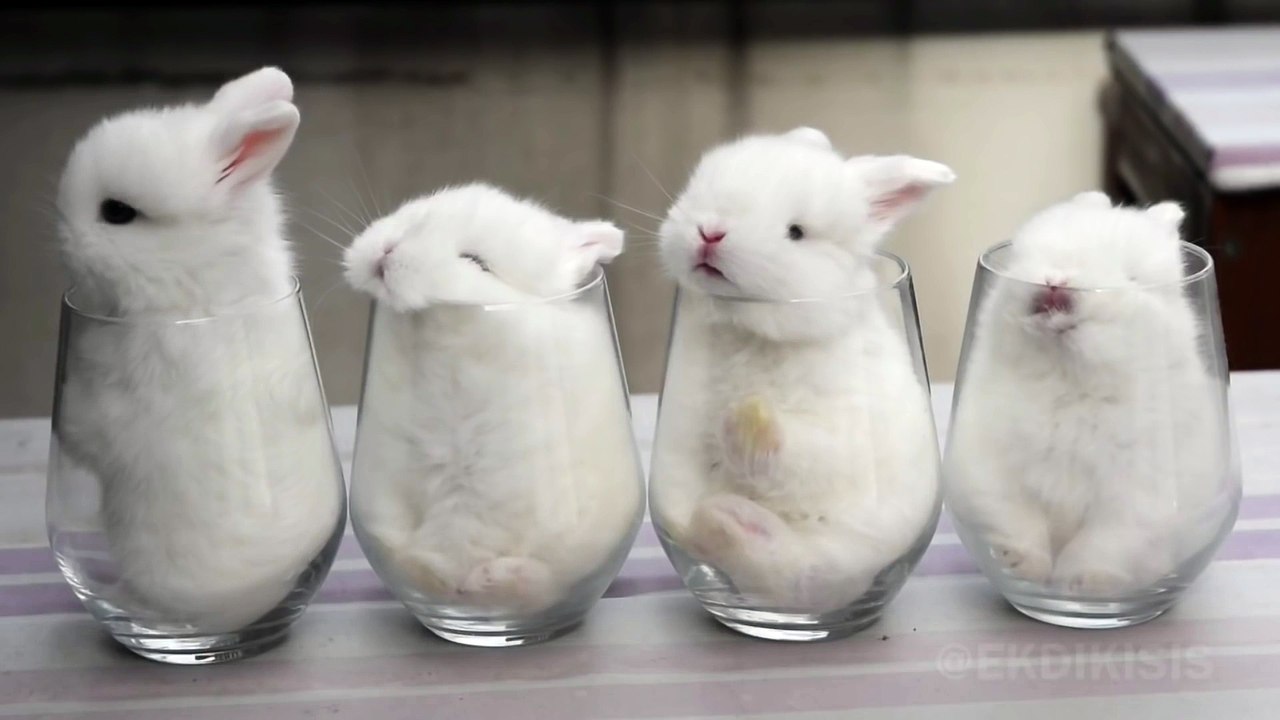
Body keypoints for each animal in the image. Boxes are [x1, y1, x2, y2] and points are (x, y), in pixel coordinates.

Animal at [343, 183, 644, 613]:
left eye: (475, 261)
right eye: (418, 216)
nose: (385, 252)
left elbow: (466, 539)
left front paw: (461, 577)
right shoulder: (389, 477)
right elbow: (394, 529)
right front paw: (422, 570)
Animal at [649, 127, 951, 612]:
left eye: (796, 232)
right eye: (701, 187)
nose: (710, 233)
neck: (748, 329)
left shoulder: (841, 436)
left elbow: (799, 455)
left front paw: (747, 420)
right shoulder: (680, 427)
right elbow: (680, 493)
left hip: (852, 549)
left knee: (797, 575)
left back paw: (728, 519)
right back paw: (716, 521)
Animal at [944, 192, 1236, 596]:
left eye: (1132, 277)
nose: (1057, 281)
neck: (1068, 381)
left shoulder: (1136, 501)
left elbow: (1101, 545)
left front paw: (1081, 585)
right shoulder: (991, 470)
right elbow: (1019, 521)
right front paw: (1022, 566)